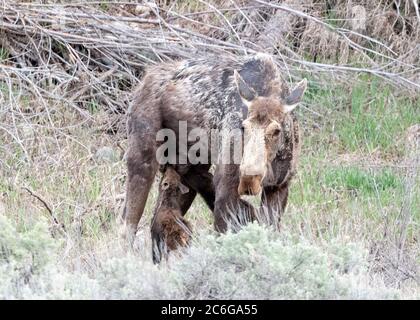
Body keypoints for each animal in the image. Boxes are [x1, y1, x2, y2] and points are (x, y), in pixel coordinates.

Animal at [120, 52, 306, 258]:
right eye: (243, 126)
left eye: (276, 131)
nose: (249, 178)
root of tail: (145, 77)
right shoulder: (226, 182)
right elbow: (222, 234)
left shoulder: (279, 186)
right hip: (143, 153)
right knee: (127, 224)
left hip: (185, 168)